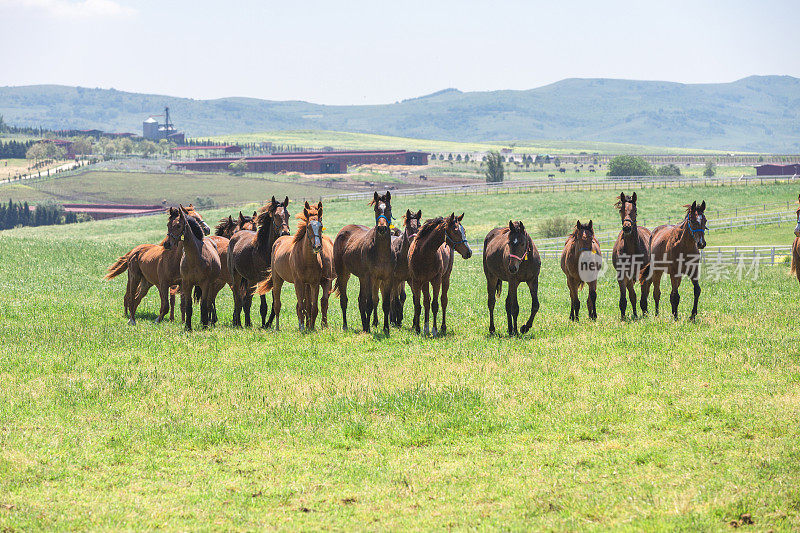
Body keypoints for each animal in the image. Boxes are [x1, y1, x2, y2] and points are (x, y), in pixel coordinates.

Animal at [228, 196, 290, 326]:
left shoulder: (272, 279)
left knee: (246, 299)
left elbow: (274, 303)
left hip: (249, 279)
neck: (266, 250)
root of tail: (236, 235)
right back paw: (239, 323)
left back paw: (247, 322)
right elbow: (263, 306)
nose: (285, 233)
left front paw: (268, 324)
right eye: (275, 215)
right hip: (236, 276)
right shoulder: (261, 279)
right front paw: (263, 324)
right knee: (238, 298)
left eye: (288, 215)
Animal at [256, 202, 332, 330]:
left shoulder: (314, 283)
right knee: (277, 304)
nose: (317, 246)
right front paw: (302, 327)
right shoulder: (298, 282)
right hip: (277, 280)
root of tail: (279, 239)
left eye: (321, 226)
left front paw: (311, 327)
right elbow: (301, 306)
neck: (307, 260)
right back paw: (277, 327)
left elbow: (314, 307)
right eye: (308, 227)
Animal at [612, 194, 648, 322]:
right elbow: (626, 298)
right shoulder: (622, 275)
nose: (627, 228)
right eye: (621, 210)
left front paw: (645, 314)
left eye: (635, 211)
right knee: (632, 295)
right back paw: (635, 314)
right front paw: (623, 317)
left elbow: (644, 296)